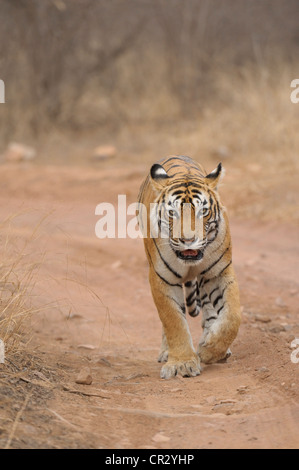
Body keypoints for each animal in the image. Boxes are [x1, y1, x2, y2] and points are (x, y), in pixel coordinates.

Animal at [138, 154, 241, 378]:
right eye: (172, 213)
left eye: (203, 211)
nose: (188, 240)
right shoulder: (161, 279)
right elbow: (173, 322)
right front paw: (182, 363)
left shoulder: (219, 272)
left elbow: (232, 316)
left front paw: (210, 350)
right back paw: (167, 352)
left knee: (211, 309)